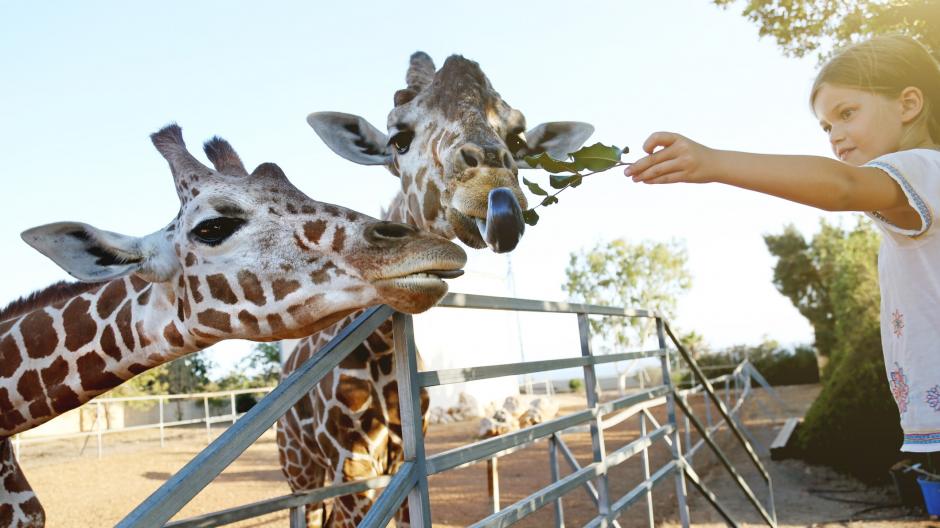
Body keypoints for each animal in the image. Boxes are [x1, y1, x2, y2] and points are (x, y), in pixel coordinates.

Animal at [274, 51, 596, 524]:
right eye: (398, 139)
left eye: (517, 138)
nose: (492, 190)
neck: (383, 356)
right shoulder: (352, 466)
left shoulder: (405, 463)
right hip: (301, 473)